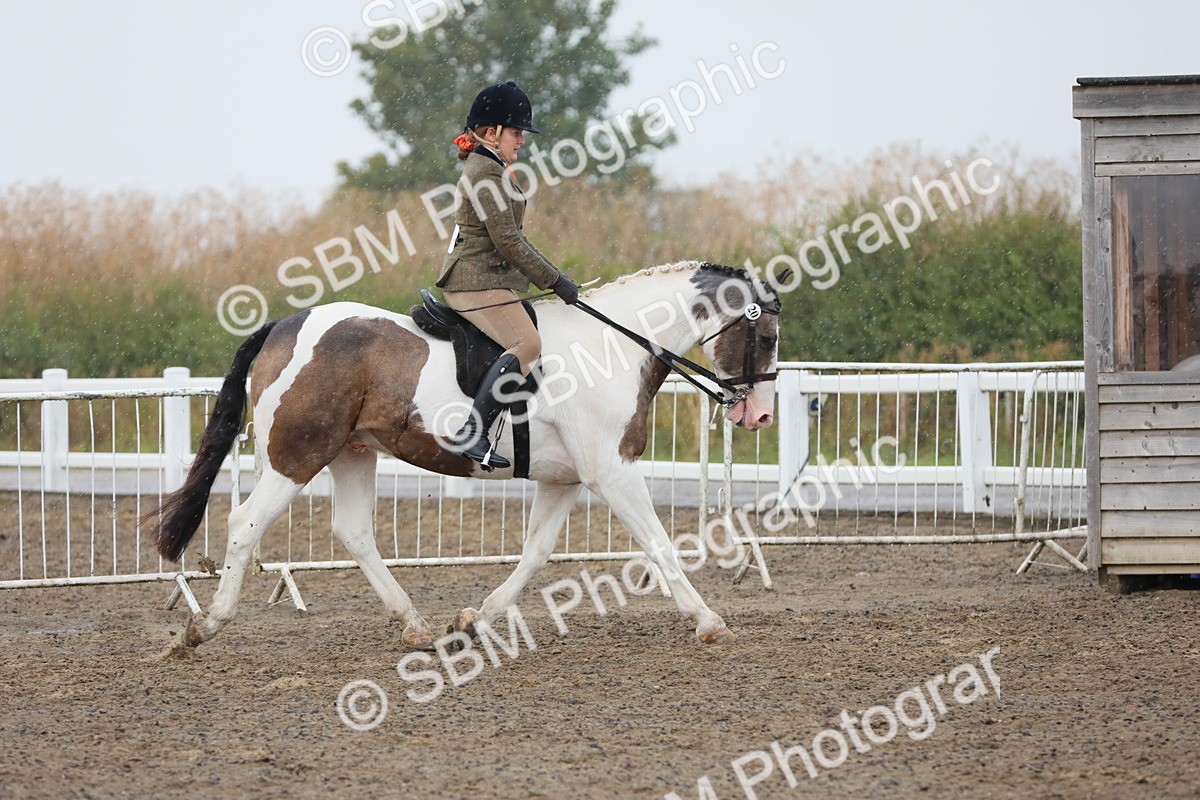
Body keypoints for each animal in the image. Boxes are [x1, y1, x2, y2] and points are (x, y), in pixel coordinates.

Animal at [151, 260, 784, 649]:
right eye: (767, 336)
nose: (758, 416)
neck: (611, 345)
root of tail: (284, 324)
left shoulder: (565, 479)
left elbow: (536, 551)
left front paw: (474, 617)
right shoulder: (612, 472)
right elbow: (659, 544)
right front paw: (708, 622)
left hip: (352, 451)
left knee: (353, 531)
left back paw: (414, 626)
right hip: (297, 454)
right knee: (245, 522)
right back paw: (204, 627)